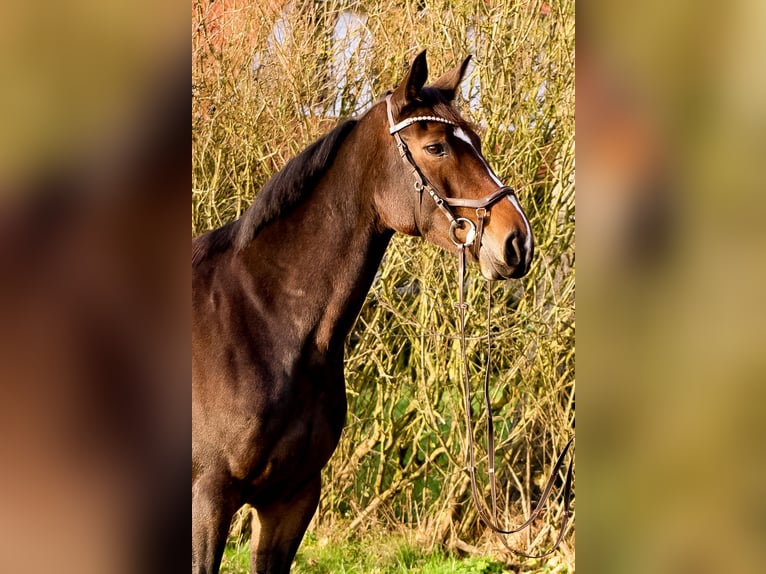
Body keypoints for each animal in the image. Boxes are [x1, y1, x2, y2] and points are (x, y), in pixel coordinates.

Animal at [192, 50, 536, 574]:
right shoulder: (208, 498)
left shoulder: (291, 499)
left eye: (475, 140)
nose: (517, 241)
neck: (264, 322)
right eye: (436, 147)